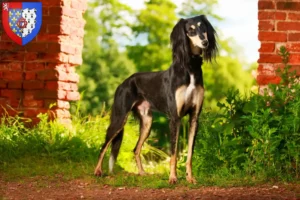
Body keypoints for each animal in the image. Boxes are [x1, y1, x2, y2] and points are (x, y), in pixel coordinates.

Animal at [94, 14, 218, 184]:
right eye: (191, 30)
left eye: (203, 27)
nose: (205, 42)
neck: (190, 68)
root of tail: (124, 82)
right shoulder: (175, 117)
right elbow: (173, 152)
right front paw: (172, 178)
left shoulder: (194, 117)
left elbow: (190, 153)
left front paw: (190, 178)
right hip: (120, 118)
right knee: (104, 145)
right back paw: (97, 171)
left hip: (147, 122)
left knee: (136, 149)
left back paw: (141, 173)